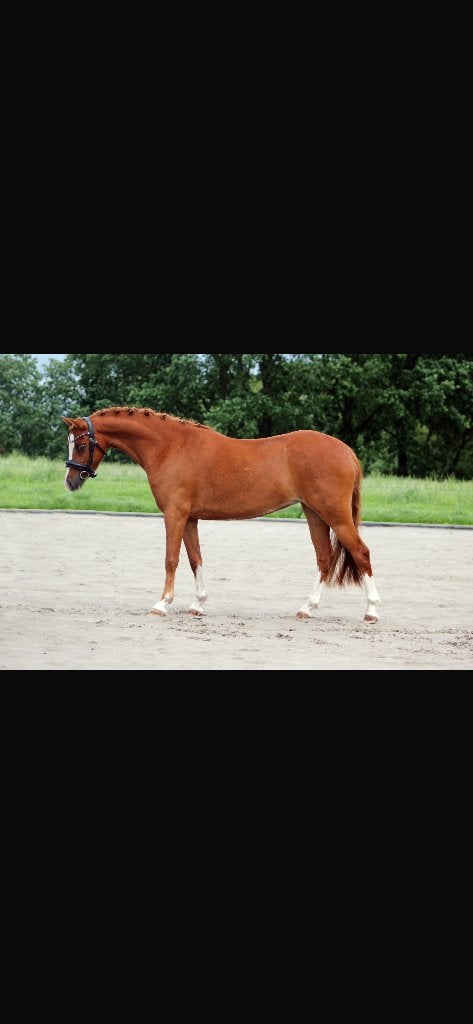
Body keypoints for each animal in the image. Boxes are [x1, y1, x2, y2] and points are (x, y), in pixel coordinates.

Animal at [63, 407, 380, 622]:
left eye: (81, 445)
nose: (70, 482)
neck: (169, 447)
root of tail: (346, 451)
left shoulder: (174, 515)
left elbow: (171, 559)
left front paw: (162, 604)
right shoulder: (189, 518)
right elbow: (195, 559)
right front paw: (197, 604)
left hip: (335, 515)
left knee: (361, 553)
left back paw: (371, 611)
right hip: (315, 514)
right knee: (325, 558)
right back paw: (306, 609)